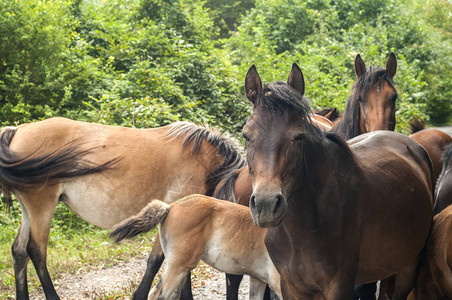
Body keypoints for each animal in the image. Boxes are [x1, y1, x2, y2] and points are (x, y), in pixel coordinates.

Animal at [0, 118, 245, 300]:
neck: (203, 158)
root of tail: (17, 130)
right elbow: (157, 262)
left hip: (28, 210)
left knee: (19, 251)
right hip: (42, 207)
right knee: (36, 250)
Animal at [242, 64, 432, 298]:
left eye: (299, 136)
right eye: (246, 135)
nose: (266, 206)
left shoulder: (339, 286)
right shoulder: (291, 286)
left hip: (408, 266)